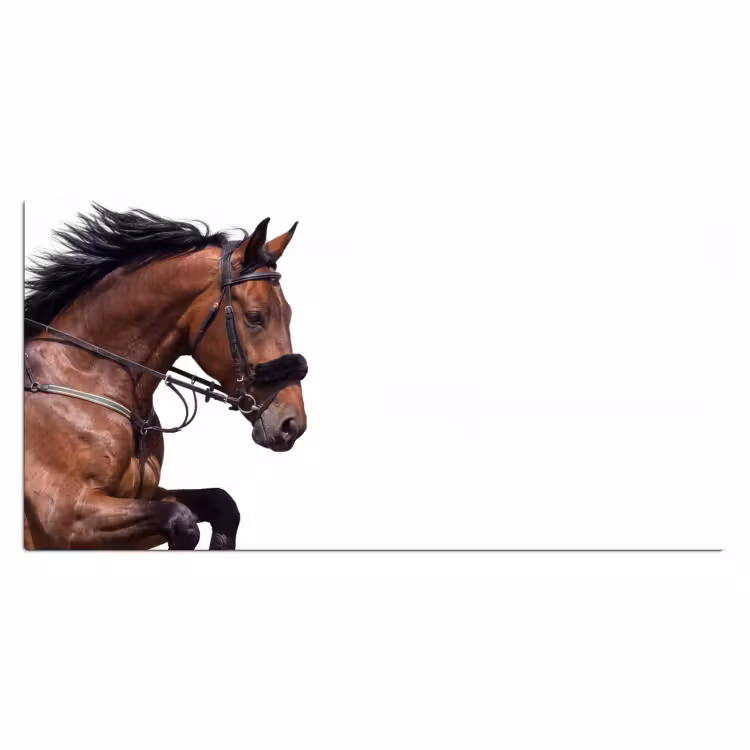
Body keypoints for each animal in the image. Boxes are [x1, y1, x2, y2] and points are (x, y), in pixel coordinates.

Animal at [23, 204, 308, 550]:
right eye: (255, 317)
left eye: (289, 314)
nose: (292, 424)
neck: (87, 374)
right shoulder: (66, 518)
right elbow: (181, 520)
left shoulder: (139, 500)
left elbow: (220, 503)